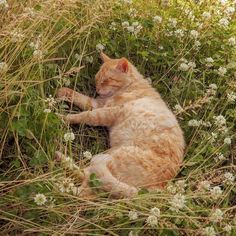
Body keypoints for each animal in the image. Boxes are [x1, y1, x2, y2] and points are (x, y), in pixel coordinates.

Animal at [56, 52, 185, 198]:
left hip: (110, 160)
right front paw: (63, 92)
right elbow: (82, 98)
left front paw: (62, 117)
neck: (131, 86)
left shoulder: (107, 112)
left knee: (85, 188)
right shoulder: (98, 104)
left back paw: (59, 180)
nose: (98, 89)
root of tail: (158, 188)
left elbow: (85, 116)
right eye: (97, 79)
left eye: (107, 80)